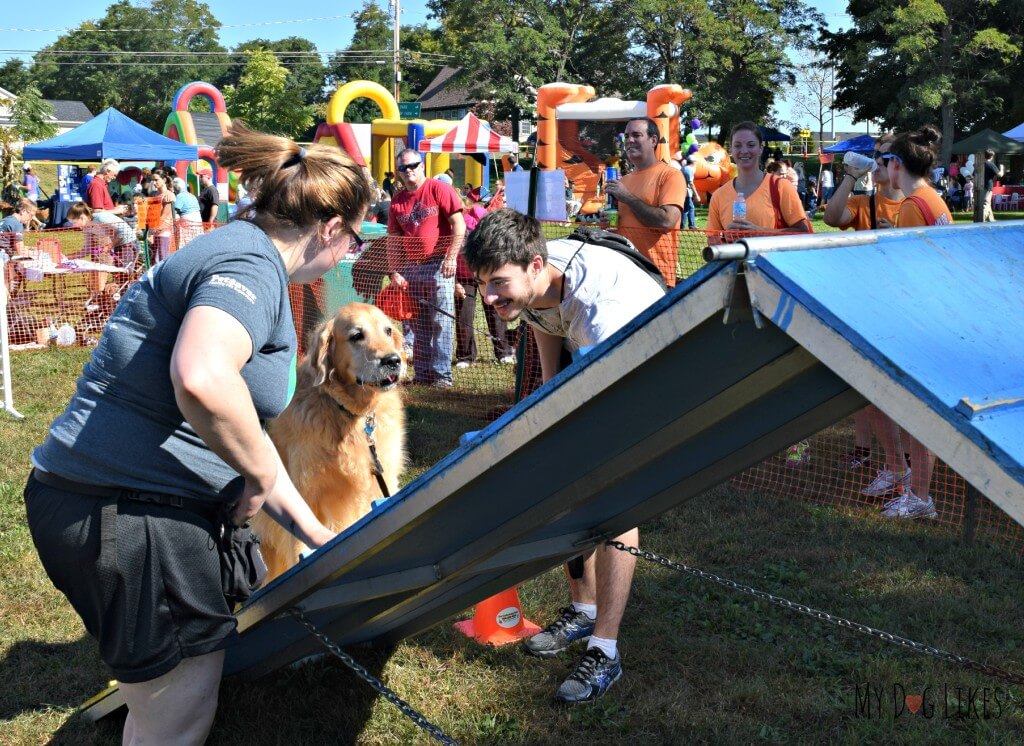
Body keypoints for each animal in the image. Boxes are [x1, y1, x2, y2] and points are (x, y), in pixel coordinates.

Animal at [256, 302, 407, 581]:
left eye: (388, 330)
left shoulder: (384, 479)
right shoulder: (307, 493)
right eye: (357, 335)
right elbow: (302, 545)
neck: (351, 414)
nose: (393, 360)